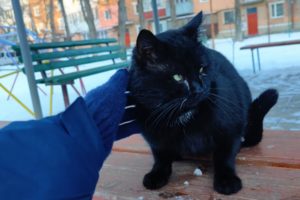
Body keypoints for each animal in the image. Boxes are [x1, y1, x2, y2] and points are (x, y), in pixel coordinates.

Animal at [127, 11, 278, 195]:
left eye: (201, 69)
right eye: (178, 77)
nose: (199, 89)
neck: (182, 117)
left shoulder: (231, 129)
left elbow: (224, 155)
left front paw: (227, 180)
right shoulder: (153, 137)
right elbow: (160, 156)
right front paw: (157, 174)